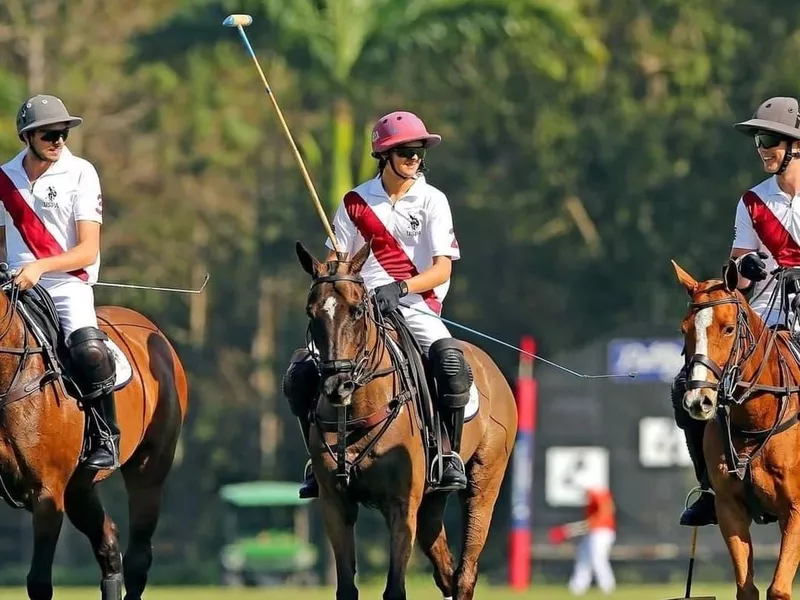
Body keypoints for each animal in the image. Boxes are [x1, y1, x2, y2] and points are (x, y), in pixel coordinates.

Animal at [0, 274, 188, 600]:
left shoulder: (47, 492)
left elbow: (39, 582)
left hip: (149, 467)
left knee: (138, 558)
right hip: (79, 488)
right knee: (109, 545)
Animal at [294, 243, 520, 600]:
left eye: (357, 310)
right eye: (311, 312)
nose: (337, 386)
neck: (357, 413)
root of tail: (492, 369)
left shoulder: (401, 505)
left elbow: (395, 589)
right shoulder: (335, 503)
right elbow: (347, 588)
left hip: (485, 480)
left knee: (466, 573)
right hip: (432, 500)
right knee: (446, 571)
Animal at [676, 258, 800, 600]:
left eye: (729, 328)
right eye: (684, 329)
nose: (698, 400)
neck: (757, 417)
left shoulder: (796, 509)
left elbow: (779, 589)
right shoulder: (730, 508)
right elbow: (747, 588)